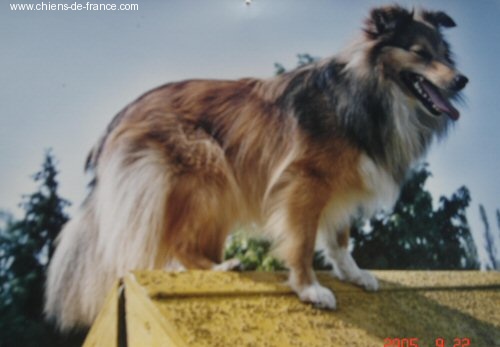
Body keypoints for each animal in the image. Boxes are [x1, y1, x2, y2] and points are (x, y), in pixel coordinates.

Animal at [45, 6, 466, 332]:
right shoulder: (304, 182)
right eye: (420, 52)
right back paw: (218, 269)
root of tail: (120, 117)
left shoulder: (338, 187)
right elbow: (303, 241)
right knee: (178, 241)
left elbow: (339, 239)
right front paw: (310, 289)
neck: (366, 93)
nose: (462, 79)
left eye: (446, 54)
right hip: (205, 169)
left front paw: (354, 274)